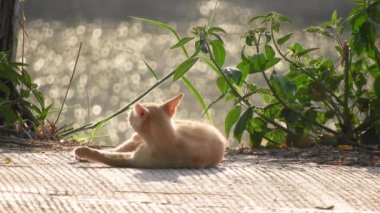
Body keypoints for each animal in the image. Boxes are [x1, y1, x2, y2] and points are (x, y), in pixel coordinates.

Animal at [75, 93, 227, 168]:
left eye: (132, 115)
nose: (129, 111)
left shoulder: (133, 160)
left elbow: (104, 155)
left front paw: (84, 151)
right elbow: (112, 151)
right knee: (123, 146)